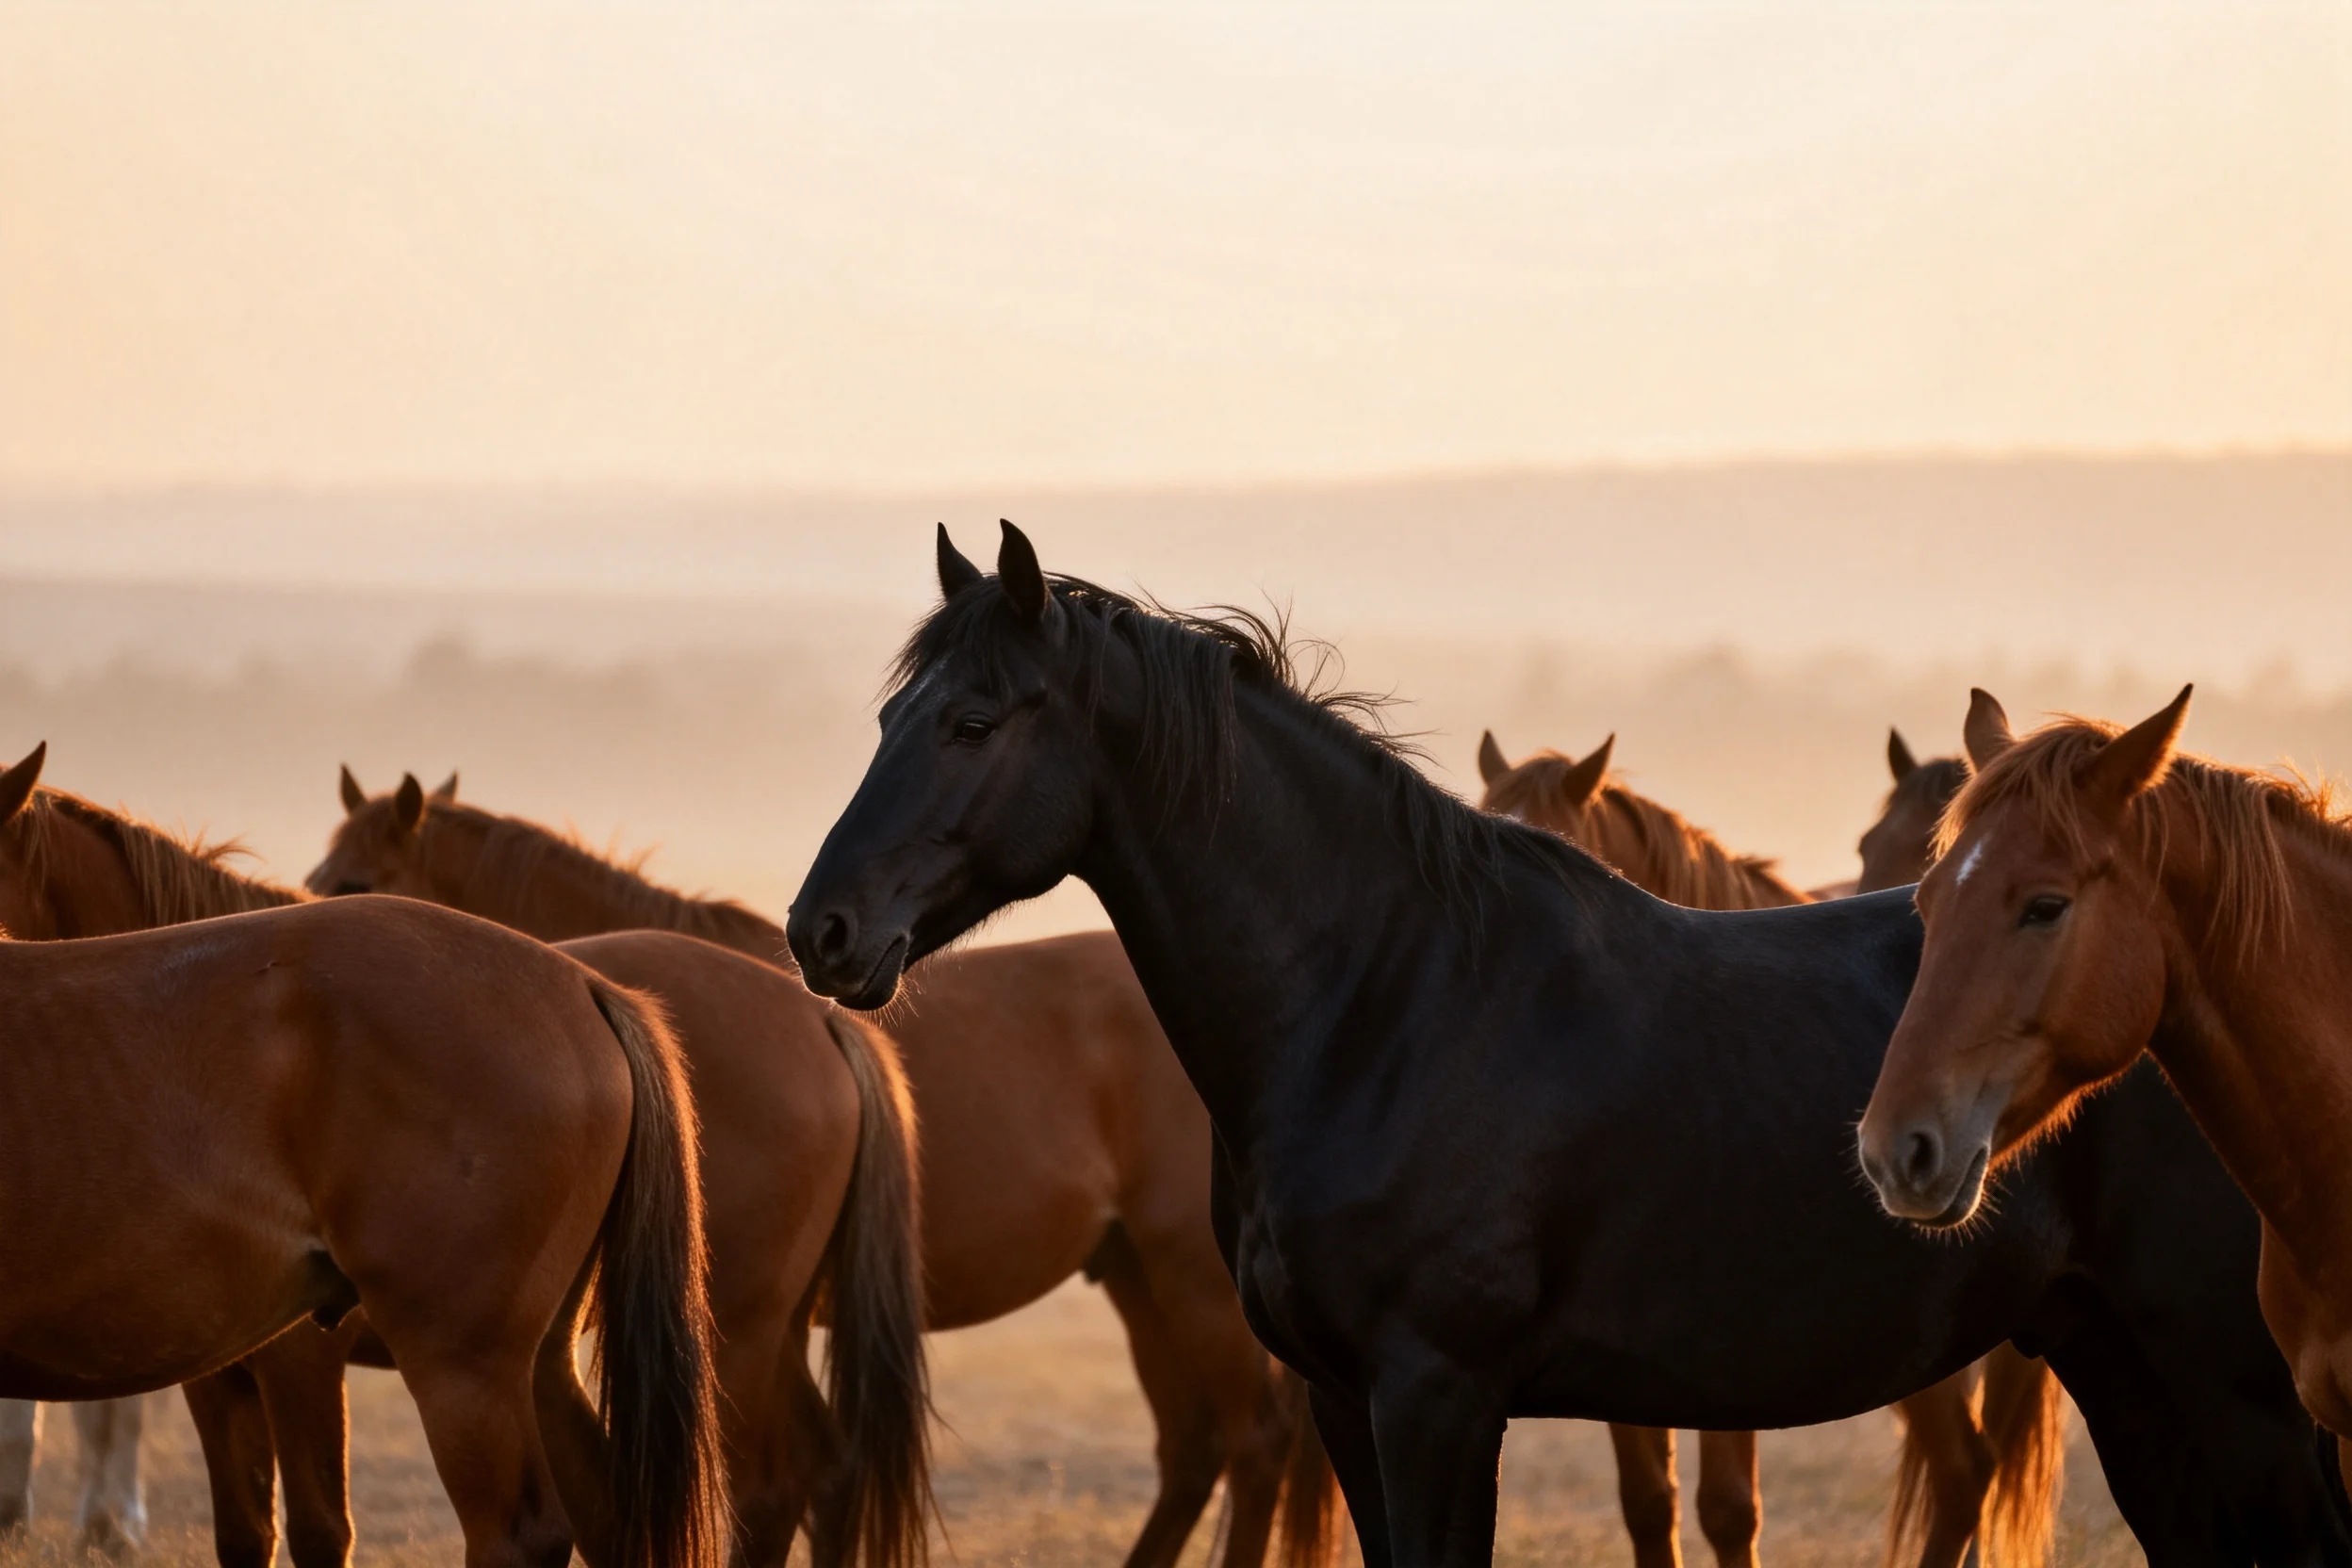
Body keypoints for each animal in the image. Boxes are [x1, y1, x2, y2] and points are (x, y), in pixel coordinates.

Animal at [0, 745, 928, 1568]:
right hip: (585, 1356)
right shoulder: (216, 1375)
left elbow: (317, 1532)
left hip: (650, 1346)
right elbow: (242, 1532)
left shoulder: (299, 1357)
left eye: (351, 879)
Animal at [308, 771, 1334, 1568]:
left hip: (1191, 1276)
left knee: (1255, 1443)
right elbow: (825, 1478)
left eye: (352, 882)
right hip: (1135, 1276)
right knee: (1195, 1449)